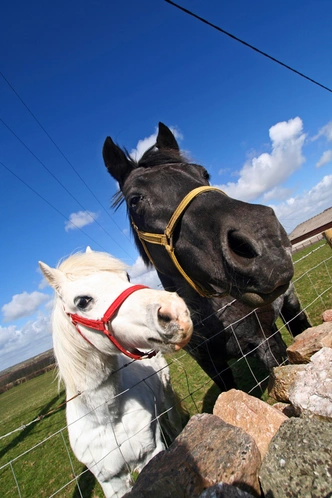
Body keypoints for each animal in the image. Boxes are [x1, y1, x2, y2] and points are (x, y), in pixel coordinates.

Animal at [39, 249, 192, 498]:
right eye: (83, 301)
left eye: (127, 277)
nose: (175, 311)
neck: (106, 419)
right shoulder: (111, 481)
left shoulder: (151, 454)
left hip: (168, 392)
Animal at [102, 122, 310, 392]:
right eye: (135, 199)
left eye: (204, 173)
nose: (265, 238)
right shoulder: (212, 366)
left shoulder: (268, 342)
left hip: (290, 304)